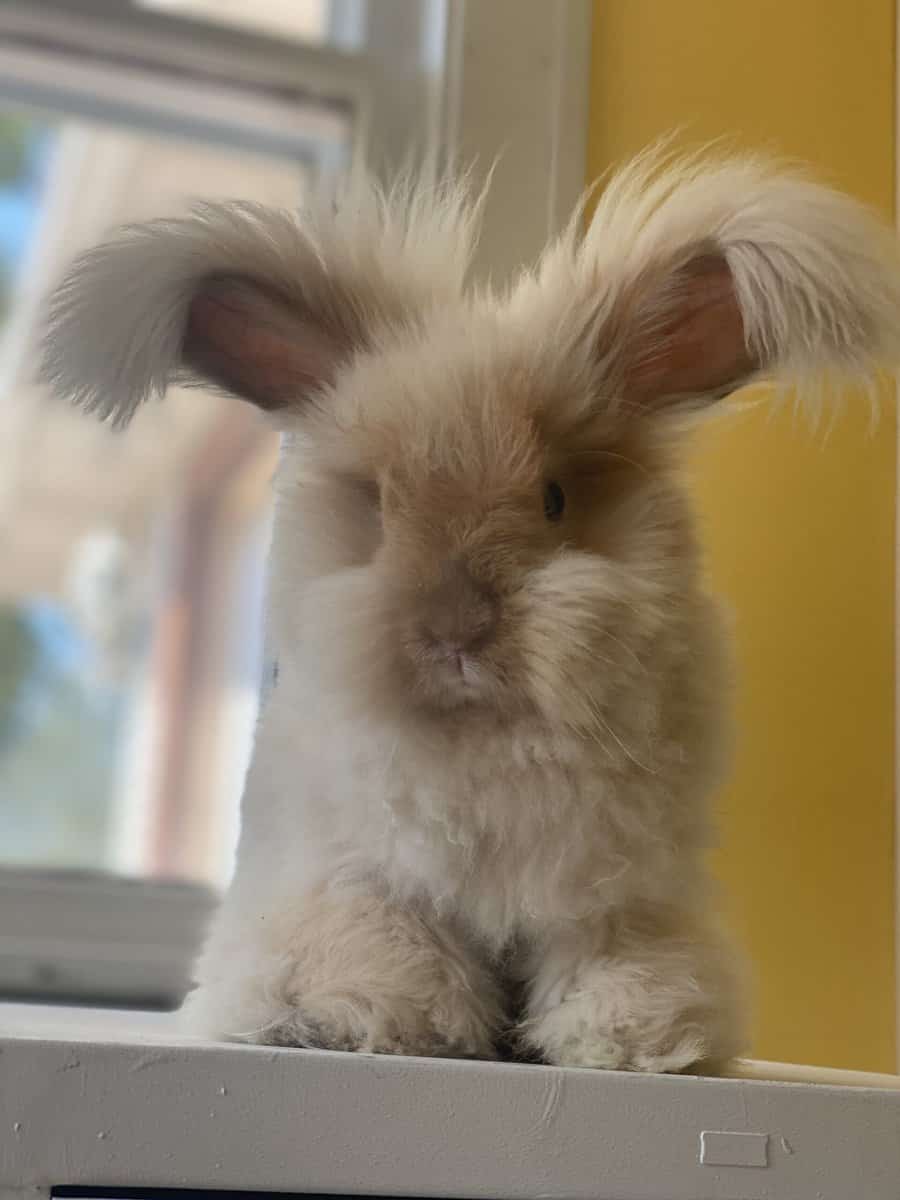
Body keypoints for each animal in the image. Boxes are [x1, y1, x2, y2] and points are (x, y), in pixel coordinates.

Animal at [40, 147, 900, 1070]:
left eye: (554, 498)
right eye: (382, 506)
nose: (457, 628)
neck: (486, 739)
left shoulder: (619, 893)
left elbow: (619, 955)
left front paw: (630, 1034)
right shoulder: (362, 872)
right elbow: (382, 940)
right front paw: (382, 1016)